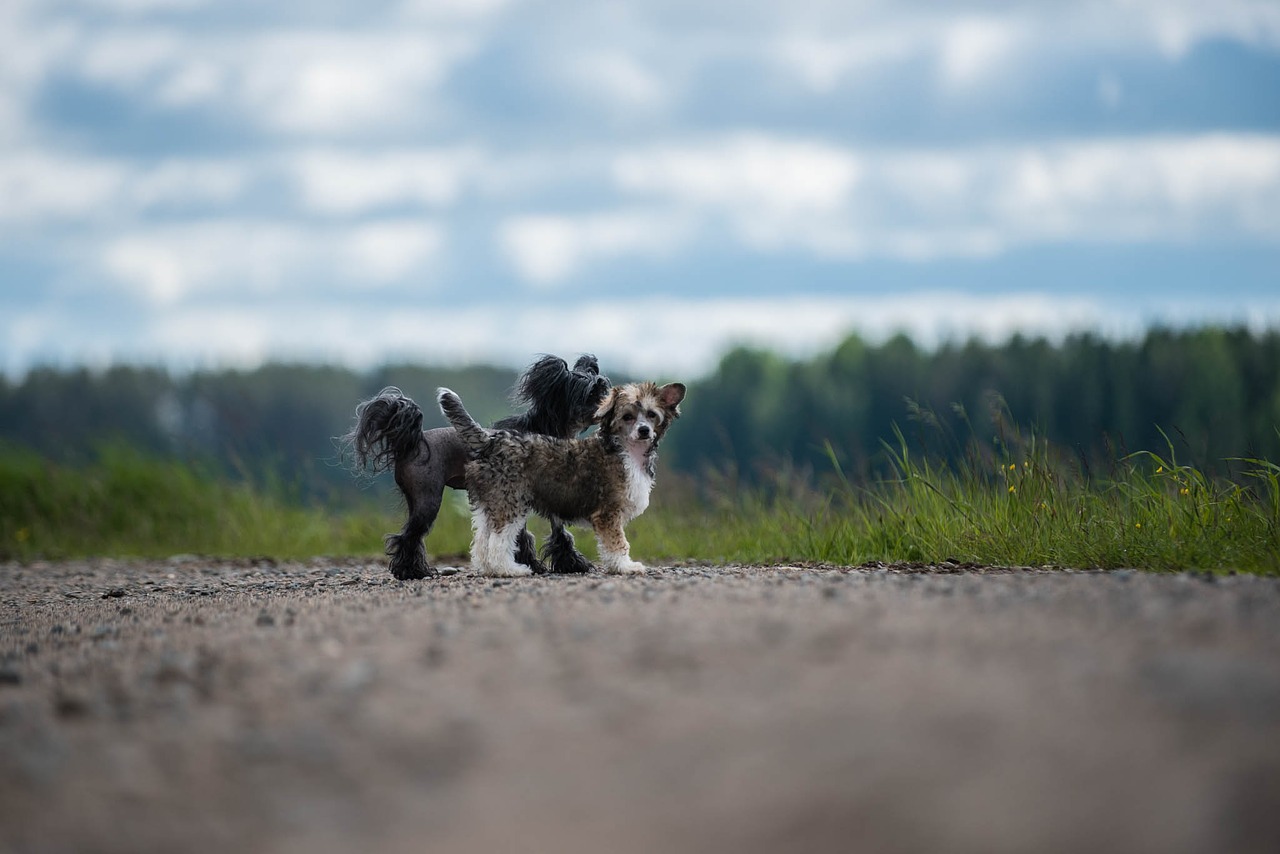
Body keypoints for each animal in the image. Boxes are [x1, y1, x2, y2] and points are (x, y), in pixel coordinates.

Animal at [345, 353, 609, 581]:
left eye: (603, 388)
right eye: (590, 393)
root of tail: (413, 442)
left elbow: (556, 533)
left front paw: (564, 563)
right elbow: (537, 534)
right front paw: (545, 565)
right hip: (427, 500)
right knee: (408, 537)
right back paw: (412, 572)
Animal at [437, 381, 686, 578]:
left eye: (651, 415)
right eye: (627, 417)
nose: (644, 430)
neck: (624, 451)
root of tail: (491, 441)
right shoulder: (608, 514)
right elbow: (618, 543)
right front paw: (625, 567)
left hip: (491, 504)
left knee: (481, 542)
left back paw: (490, 569)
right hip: (510, 504)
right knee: (498, 543)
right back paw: (510, 570)